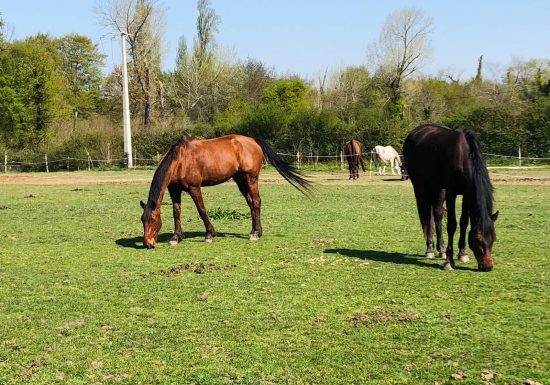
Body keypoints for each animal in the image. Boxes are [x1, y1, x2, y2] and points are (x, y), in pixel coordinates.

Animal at [140, 134, 312, 249]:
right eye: (143, 220)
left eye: (153, 220)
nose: (148, 244)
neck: (180, 159)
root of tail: (253, 141)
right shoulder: (174, 189)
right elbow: (176, 212)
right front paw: (176, 237)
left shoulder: (194, 187)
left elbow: (201, 210)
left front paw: (210, 234)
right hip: (240, 179)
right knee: (251, 203)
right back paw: (253, 231)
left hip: (251, 178)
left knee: (256, 202)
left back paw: (257, 233)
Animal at [404, 124, 502, 272]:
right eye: (477, 239)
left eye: (494, 239)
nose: (488, 266)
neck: (464, 157)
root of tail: (415, 132)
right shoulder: (451, 193)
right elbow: (452, 224)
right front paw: (449, 261)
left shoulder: (467, 193)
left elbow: (463, 222)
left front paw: (462, 253)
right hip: (420, 186)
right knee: (426, 217)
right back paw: (430, 249)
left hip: (438, 187)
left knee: (437, 214)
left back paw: (441, 249)